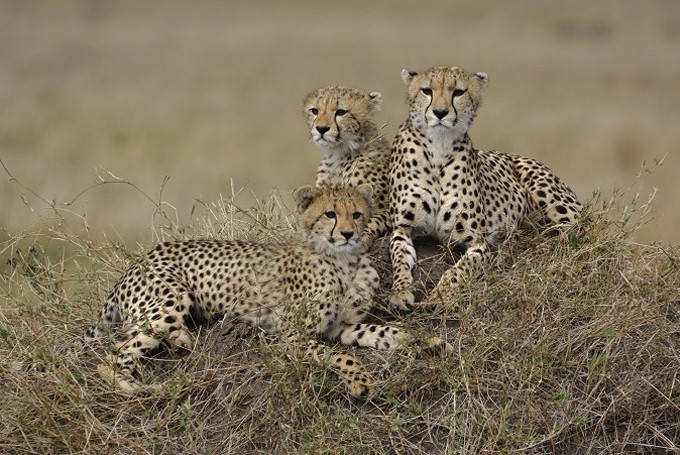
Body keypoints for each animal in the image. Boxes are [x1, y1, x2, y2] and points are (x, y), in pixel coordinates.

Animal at [87, 185, 412, 400]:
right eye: (330, 214)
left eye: (357, 214)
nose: (347, 234)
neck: (344, 260)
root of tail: (137, 262)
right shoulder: (293, 337)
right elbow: (343, 356)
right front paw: (361, 381)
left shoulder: (340, 327)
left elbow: (375, 331)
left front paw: (409, 338)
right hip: (172, 298)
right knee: (111, 358)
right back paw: (139, 388)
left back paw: (180, 339)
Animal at [390, 66, 580, 312]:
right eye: (426, 90)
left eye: (458, 92)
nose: (440, 113)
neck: (439, 146)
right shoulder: (402, 229)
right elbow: (398, 260)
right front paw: (400, 292)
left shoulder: (478, 242)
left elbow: (458, 271)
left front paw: (440, 297)